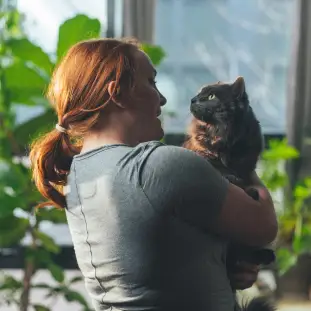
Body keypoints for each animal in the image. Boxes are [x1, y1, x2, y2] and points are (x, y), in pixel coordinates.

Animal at [184, 76, 276, 311]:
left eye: (210, 96)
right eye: (199, 94)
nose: (192, 99)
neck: (221, 133)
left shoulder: (248, 163)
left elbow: (242, 175)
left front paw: (246, 187)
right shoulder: (201, 152)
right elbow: (220, 170)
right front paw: (234, 181)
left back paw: (265, 254)